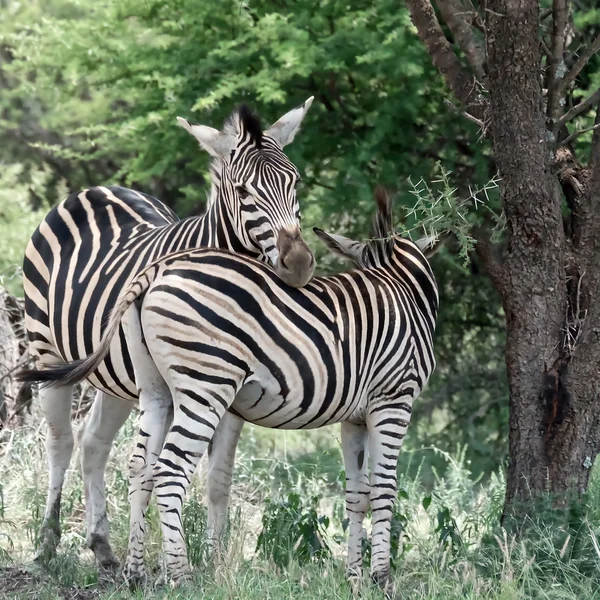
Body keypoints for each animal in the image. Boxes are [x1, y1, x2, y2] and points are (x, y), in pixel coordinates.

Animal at [19, 97, 314, 568]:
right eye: (243, 191)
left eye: (295, 182)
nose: (300, 263)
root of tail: (95, 189)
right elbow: (155, 466)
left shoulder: (229, 390)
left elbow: (217, 477)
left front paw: (216, 561)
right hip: (49, 354)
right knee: (61, 443)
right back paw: (47, 543)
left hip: (117, 377)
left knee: (93, 441)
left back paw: (102, 545)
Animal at [23, 189, 438, 592]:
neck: (400, 288)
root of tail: (157, 268)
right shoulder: (393, 401)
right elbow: (383, 489)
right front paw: (381, 577)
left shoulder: (355, 418)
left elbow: (356, 495)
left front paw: (354, 578)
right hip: (204, 386)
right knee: (166, 471)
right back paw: (181, 577)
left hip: (155, 390)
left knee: (140, 466)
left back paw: (134, 573)